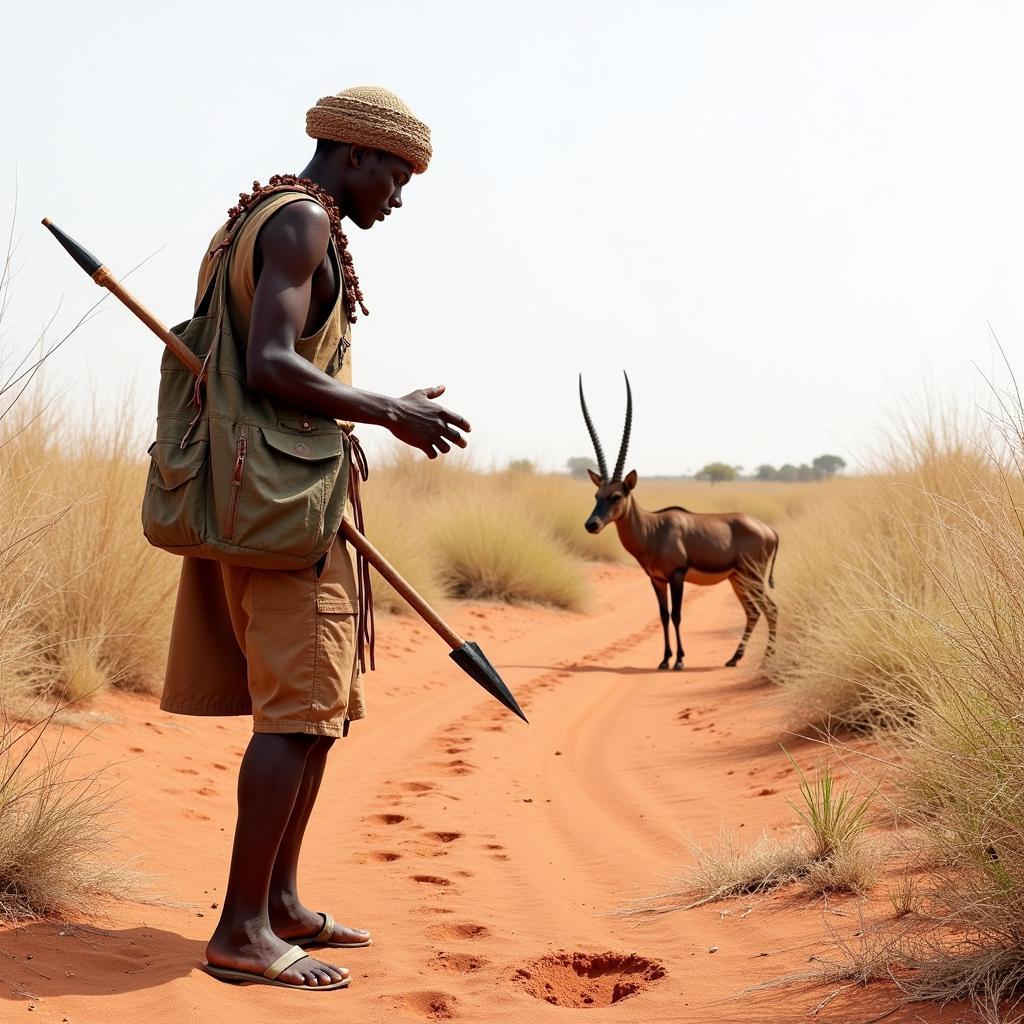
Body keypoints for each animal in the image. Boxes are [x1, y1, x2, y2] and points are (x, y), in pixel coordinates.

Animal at [581, 376, 778, 671]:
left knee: (769, 609)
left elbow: (677, 615)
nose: (591, 524)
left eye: (616, 496)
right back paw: (734, 658)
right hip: (737, 578)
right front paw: (664, 659)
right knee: (753, 611)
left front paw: (680, 660)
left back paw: (765, 660)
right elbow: (663, 615)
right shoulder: (656, 579)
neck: (653, 530)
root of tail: (770, 531)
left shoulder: (677, 575)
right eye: (596, 495)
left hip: (751, 575)